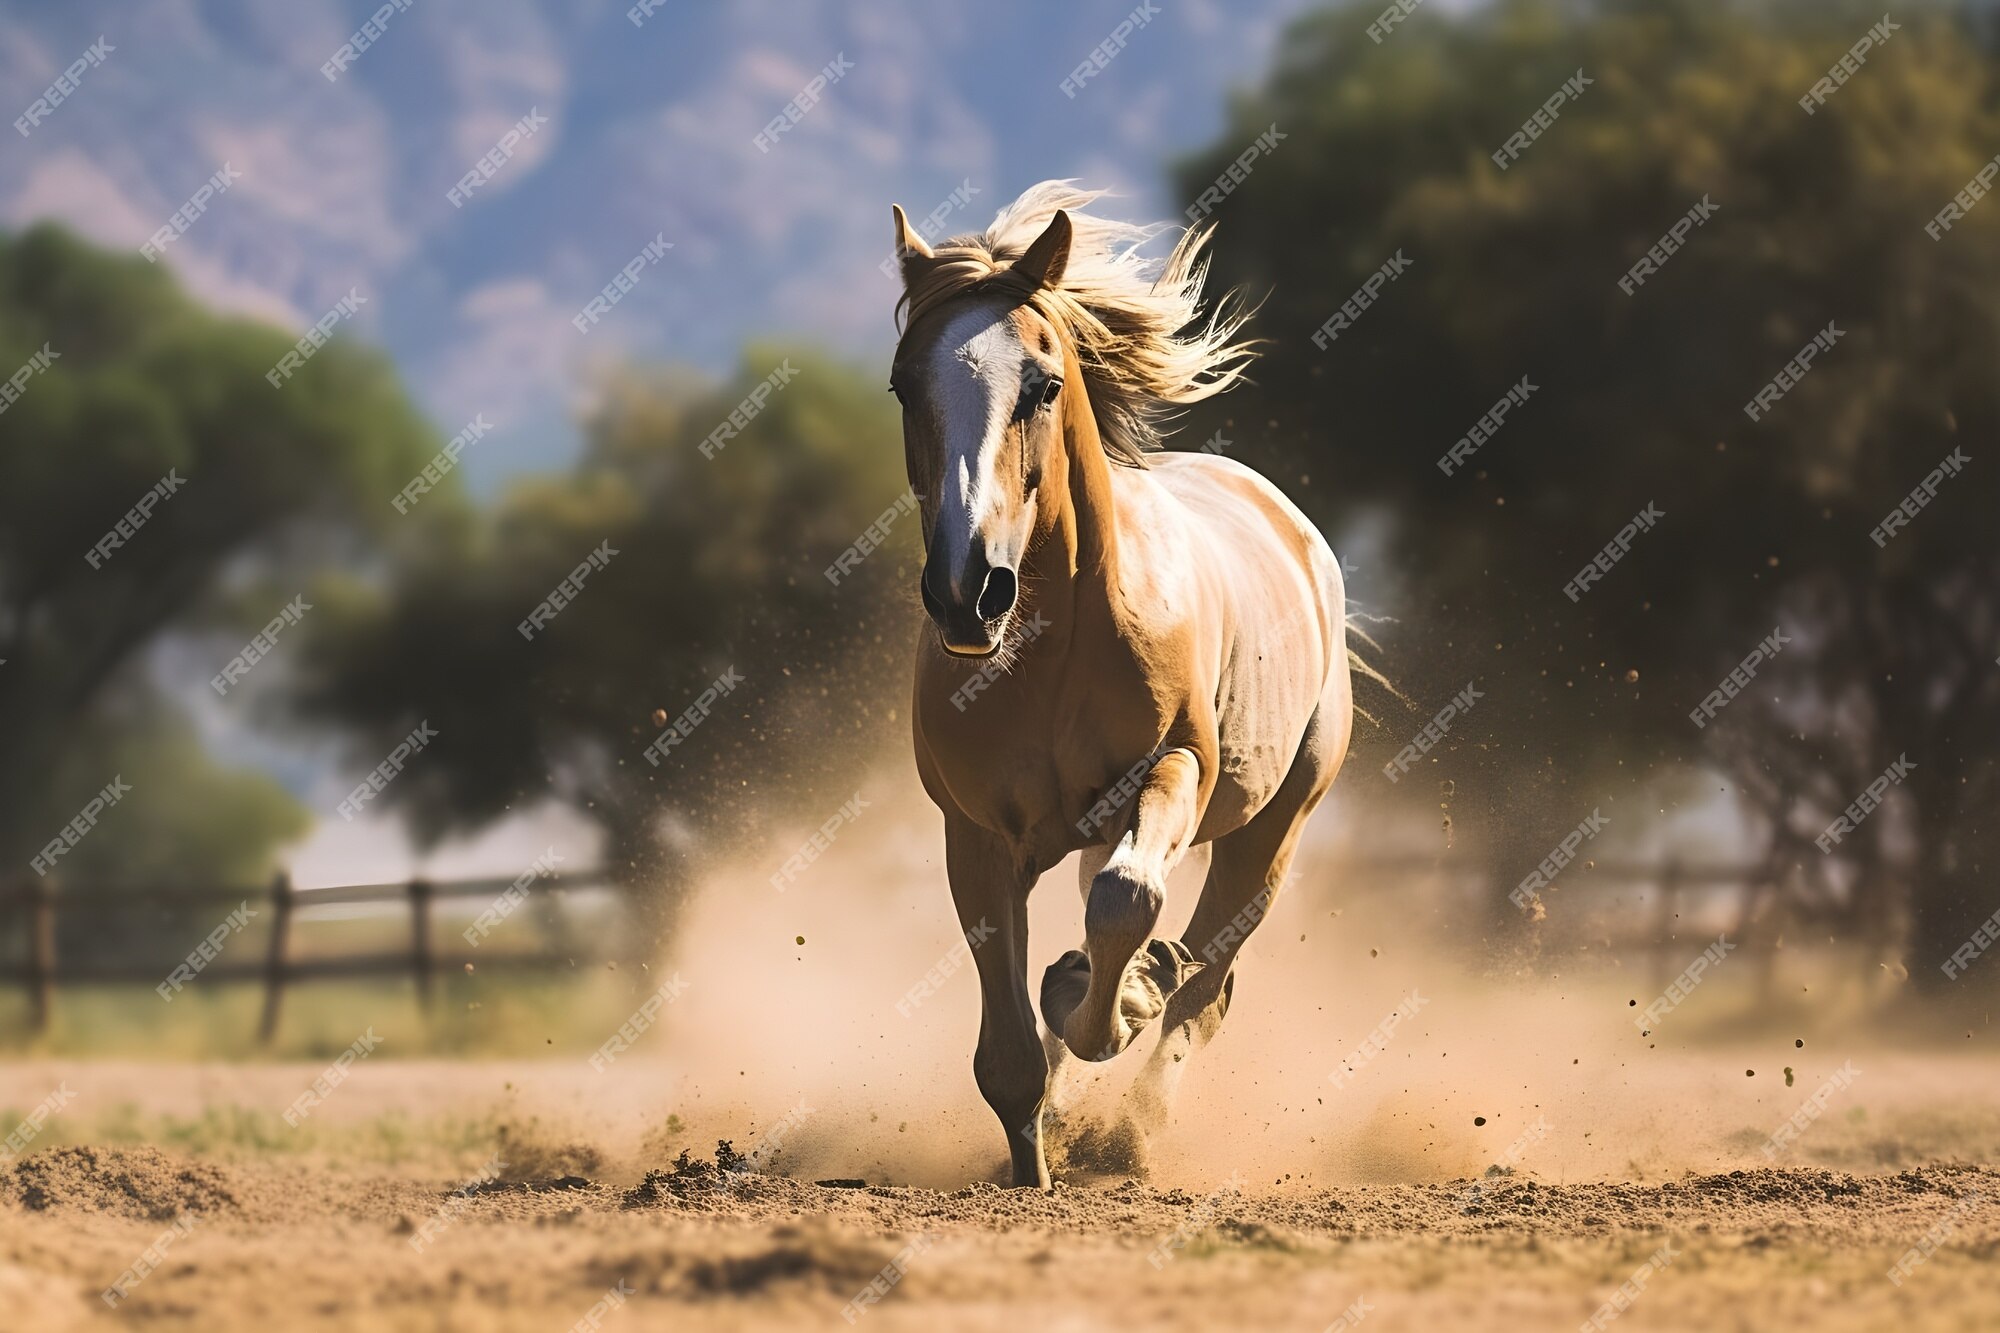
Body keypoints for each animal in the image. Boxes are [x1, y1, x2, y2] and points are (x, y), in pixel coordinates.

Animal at [896, 179, 1352, 1184]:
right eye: (905, 385)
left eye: (1041, 384)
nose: (966, 591)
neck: (1054, 646)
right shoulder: (974, 834)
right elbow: (1009, 1053)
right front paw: (1031, 1163)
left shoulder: (1174, 771)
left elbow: (1127, 905)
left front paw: (1122, 998)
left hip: (1269, 832)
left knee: (1207, 988)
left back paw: (1132, 1127)